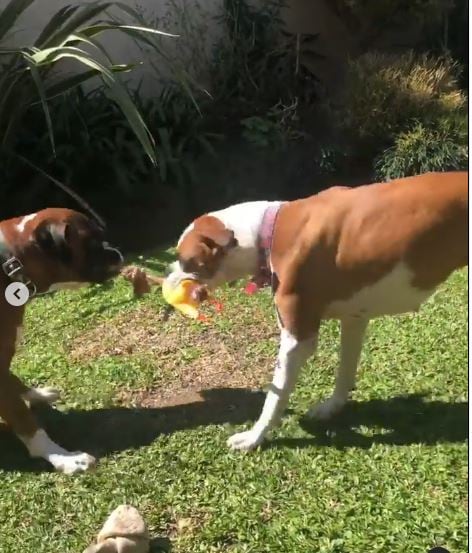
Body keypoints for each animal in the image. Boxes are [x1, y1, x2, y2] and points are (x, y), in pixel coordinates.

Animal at [0, 207, 123, 470]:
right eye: (93, 243)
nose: (115, 250)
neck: (9, 263)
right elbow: (26, 422)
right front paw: (61, 457)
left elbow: (14, 382)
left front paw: (35, 394)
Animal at [166, 170, 468, 450]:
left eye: (185, 260)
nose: (166, 277)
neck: (268, 231)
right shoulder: (354, 319)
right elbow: (345, 369)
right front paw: (333, 408)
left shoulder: (297, 339)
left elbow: (274, 396)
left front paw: (254, 437)